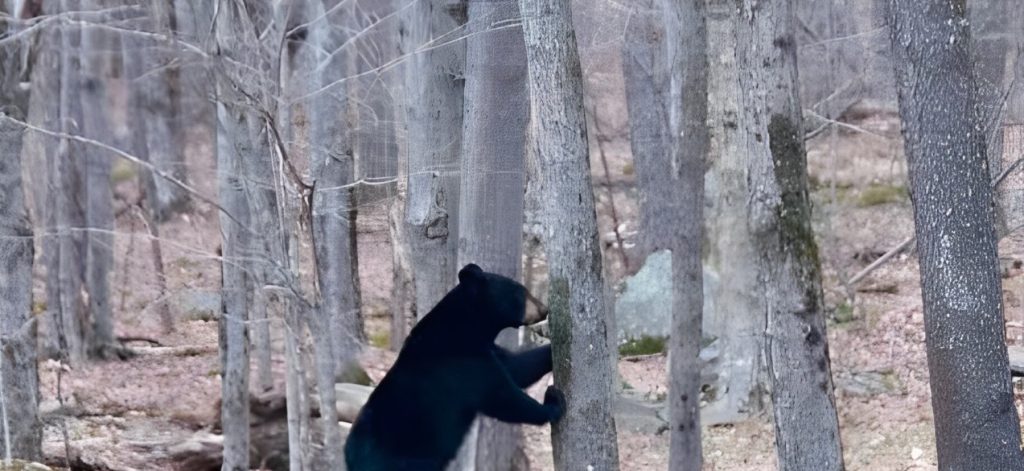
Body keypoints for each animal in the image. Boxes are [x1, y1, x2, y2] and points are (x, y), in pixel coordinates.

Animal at [348, 262, 565, 468]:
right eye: (520, 293)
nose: (544, 309)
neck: (464, 329)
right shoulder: (460, 364)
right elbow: (502, 396)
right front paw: (553, 403)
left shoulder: (486, 350)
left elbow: (517, 367)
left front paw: (550, 349)